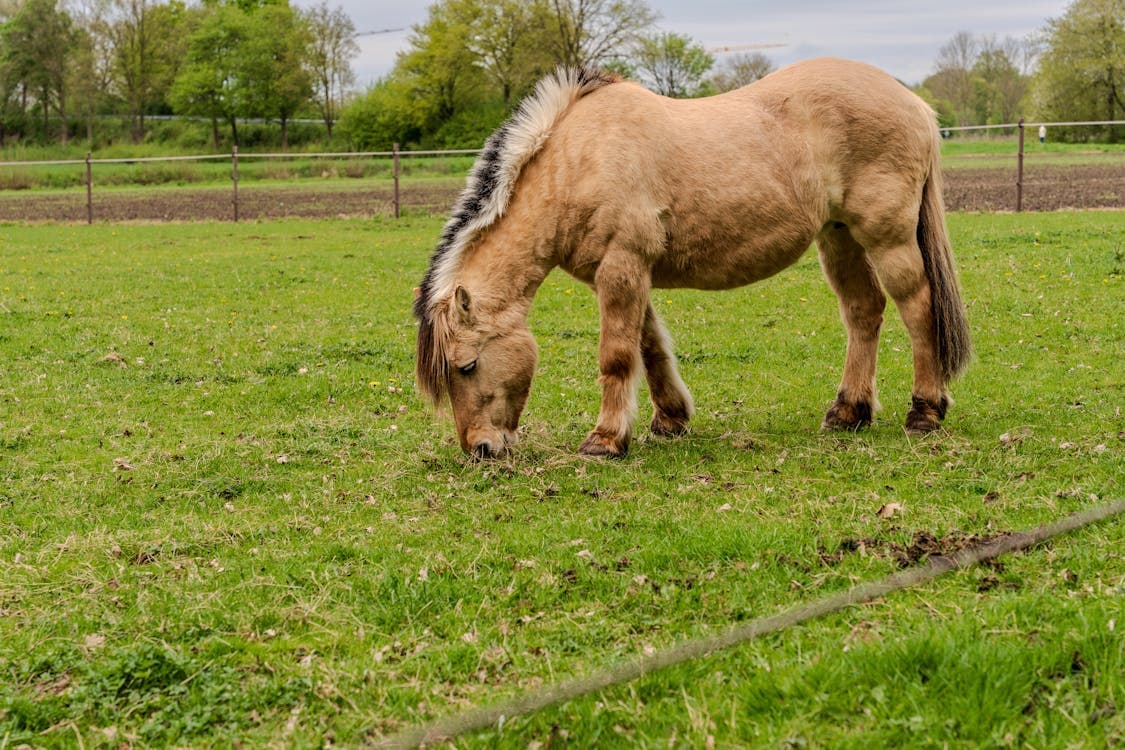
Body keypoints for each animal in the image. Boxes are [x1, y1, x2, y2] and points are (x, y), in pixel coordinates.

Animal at [414, 58, 971, 459]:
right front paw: (670, 420)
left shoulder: (621, 268)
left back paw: (924, 412)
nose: (480, 450)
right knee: (863, 312)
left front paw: (605, 440)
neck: (579, 161)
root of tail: (915, 105)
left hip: (887, 238)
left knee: (918, 309)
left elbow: (617, 356)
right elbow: (650, 348)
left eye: (466, 366)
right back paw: (849, 412)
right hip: (838, 238)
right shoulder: (625, 274)